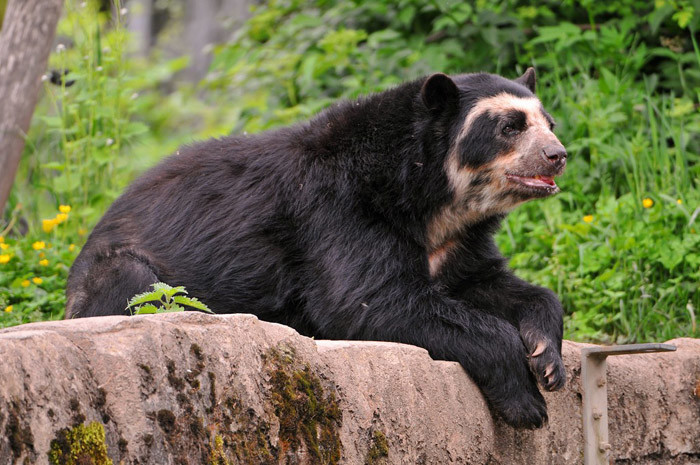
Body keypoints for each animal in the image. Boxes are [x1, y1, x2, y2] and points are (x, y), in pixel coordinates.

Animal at [65, 68, 568, 428]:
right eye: (509, 127)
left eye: (549, 124)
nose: (557, 155)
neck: (432, 200)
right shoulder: (338, 211)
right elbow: (370, 301)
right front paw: (526, 402)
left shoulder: (457, 242)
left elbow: (492, 283)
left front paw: (547, 359)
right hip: (119, 273)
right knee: (132, 284)